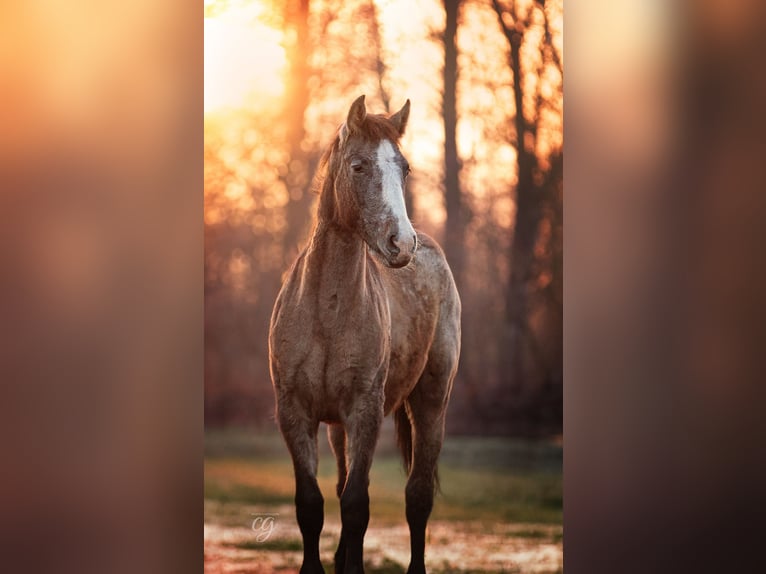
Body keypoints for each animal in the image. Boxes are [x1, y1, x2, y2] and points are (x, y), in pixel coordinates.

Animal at [270, 95, 462, 574]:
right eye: (358, 166)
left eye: (405, 168)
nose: (401, 244)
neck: (326, 311)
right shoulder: (294, 411)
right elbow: (313, 504)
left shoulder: (365, 410)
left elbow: (357, 505)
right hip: (338, 428)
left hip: (431, 402)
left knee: (418, 497)